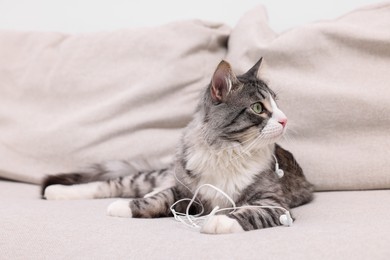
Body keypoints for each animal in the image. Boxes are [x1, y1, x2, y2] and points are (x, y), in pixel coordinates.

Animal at [40, 58, 314, 235]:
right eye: (258, 107)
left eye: (277, 104)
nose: (285, 119)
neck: (227, 150)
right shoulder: (186, 192)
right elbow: (158, 199)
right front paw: (125, 206)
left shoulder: (274, 203)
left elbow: (249, 212)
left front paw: (218, 222)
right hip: (155, 177)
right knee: (114, 184)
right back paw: (56, 191)